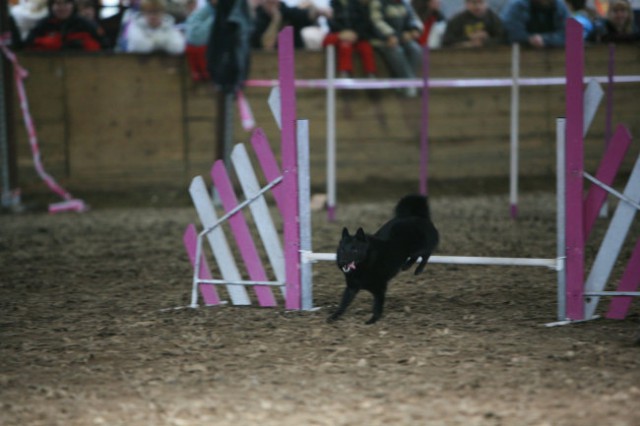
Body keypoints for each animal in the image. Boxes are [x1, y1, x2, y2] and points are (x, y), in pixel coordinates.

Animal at [328, 195, 438, 324]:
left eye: (354, 250)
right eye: (342, 250)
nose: (342, 262)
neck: (366, 262)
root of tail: (418, 215)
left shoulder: (380, 288)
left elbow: (377, 306)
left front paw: (372, 320)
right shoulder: (351, 287)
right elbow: (343, 304)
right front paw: (334, 316)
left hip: (419, 248)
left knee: (426, 254)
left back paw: (418, 269)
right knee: (415, 257)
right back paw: (406, 265)